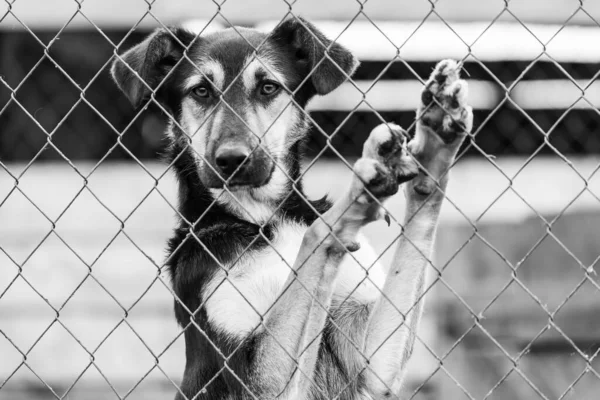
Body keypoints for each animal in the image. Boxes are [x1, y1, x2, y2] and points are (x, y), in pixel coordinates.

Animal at [110, 17, 472, 400]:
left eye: (268, 87)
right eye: (201, 91)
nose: (231, 161)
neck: (262, 219)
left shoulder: (372, 360)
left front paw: (435, 142)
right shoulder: (256, 378)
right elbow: (315, 238)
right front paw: (352, 202)